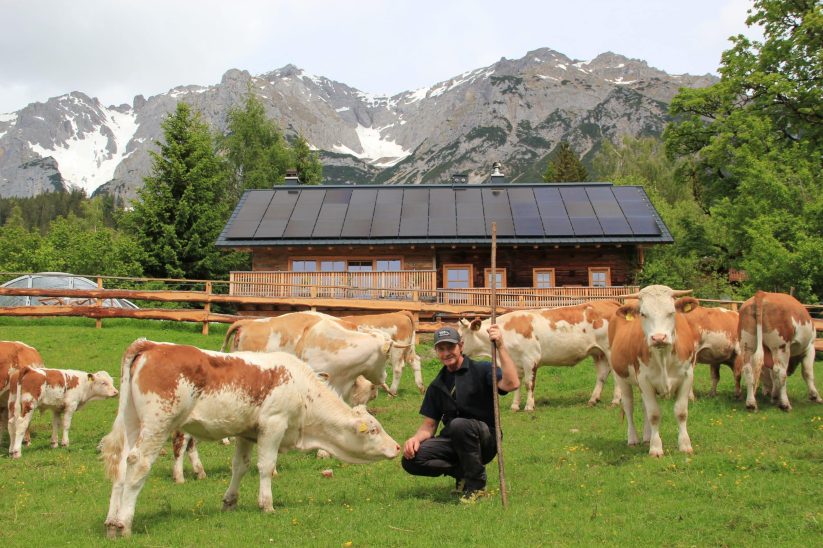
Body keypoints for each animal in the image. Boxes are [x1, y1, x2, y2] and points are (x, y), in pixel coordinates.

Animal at [102, 340, 400, 536]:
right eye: (374, 430)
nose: (397, 447)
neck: (302, 390)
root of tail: (150, 345)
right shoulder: (273, 424)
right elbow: (265, 467)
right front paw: (266, 504)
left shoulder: (246, 432)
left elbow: (240, 466)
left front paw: (230, 502)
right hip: (157, 425)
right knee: (138, 464)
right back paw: (124, 523)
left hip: (132, 422)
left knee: (121, 466)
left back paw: (111, 522)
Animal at [454, 300, 620, 412]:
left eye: (461, 338)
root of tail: (609, 302)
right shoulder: (515, 362)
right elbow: (516, 384)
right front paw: (515, 406)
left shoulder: (530, 359)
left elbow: (529, 384)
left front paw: (529, 406)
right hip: (598, 352)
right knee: (601, 375)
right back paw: (593, 399)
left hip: (610, 351)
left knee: (616, 376)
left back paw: (616, 400)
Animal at [608, 284, 700, 456]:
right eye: (643, 314)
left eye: (671, 312)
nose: (658, 338)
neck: (663, 357)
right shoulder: (644, 380)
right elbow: (654, 414)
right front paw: (656, 447)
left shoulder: (687, 377)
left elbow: (681, 412)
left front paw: (685, 445)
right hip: (620, 377)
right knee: (629, 406)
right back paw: (633, 439)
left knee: (644, 407)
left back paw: (646, 437)